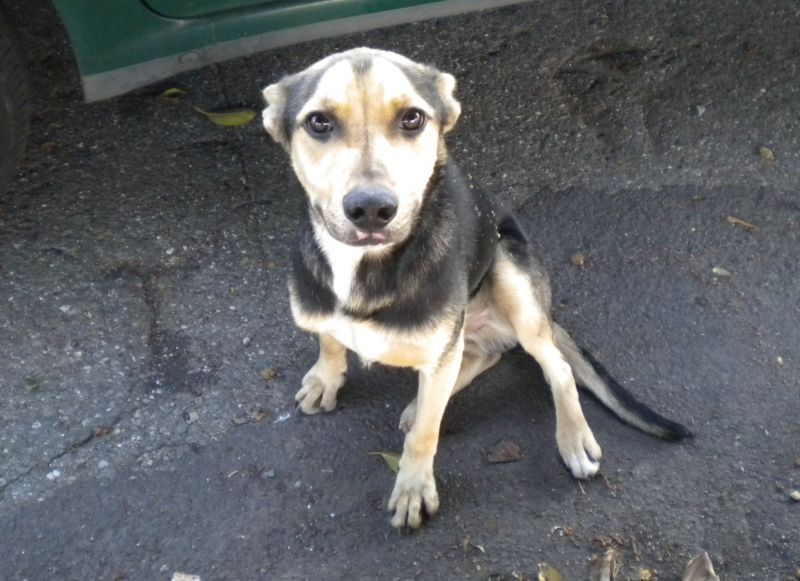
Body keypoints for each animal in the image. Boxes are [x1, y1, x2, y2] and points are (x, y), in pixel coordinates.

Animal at [260, 47, 688, 528]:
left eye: (412, 118)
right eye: (319, 122)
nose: (371, 209)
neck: (364, 269)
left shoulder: (445, 345)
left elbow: (426, 435)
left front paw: (413, 489)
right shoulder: (322, 313)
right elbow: (330, 340)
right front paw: (326, 378)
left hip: (510, 273)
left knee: (553, 366)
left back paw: (572, 438)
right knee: (481, 354)